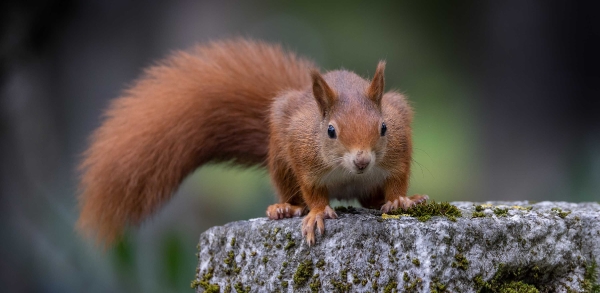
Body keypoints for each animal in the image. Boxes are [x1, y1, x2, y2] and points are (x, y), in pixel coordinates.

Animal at [77, 37, 428, 245]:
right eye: (330, 131)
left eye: (383, 128)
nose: (362, 160)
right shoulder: (304, 156)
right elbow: (313, 190)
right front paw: (316, 214)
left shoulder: (398, 148)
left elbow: (398, 178)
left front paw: (400, 200)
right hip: (281, 161)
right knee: (293, 190)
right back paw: (285, 208)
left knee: (370, 201)